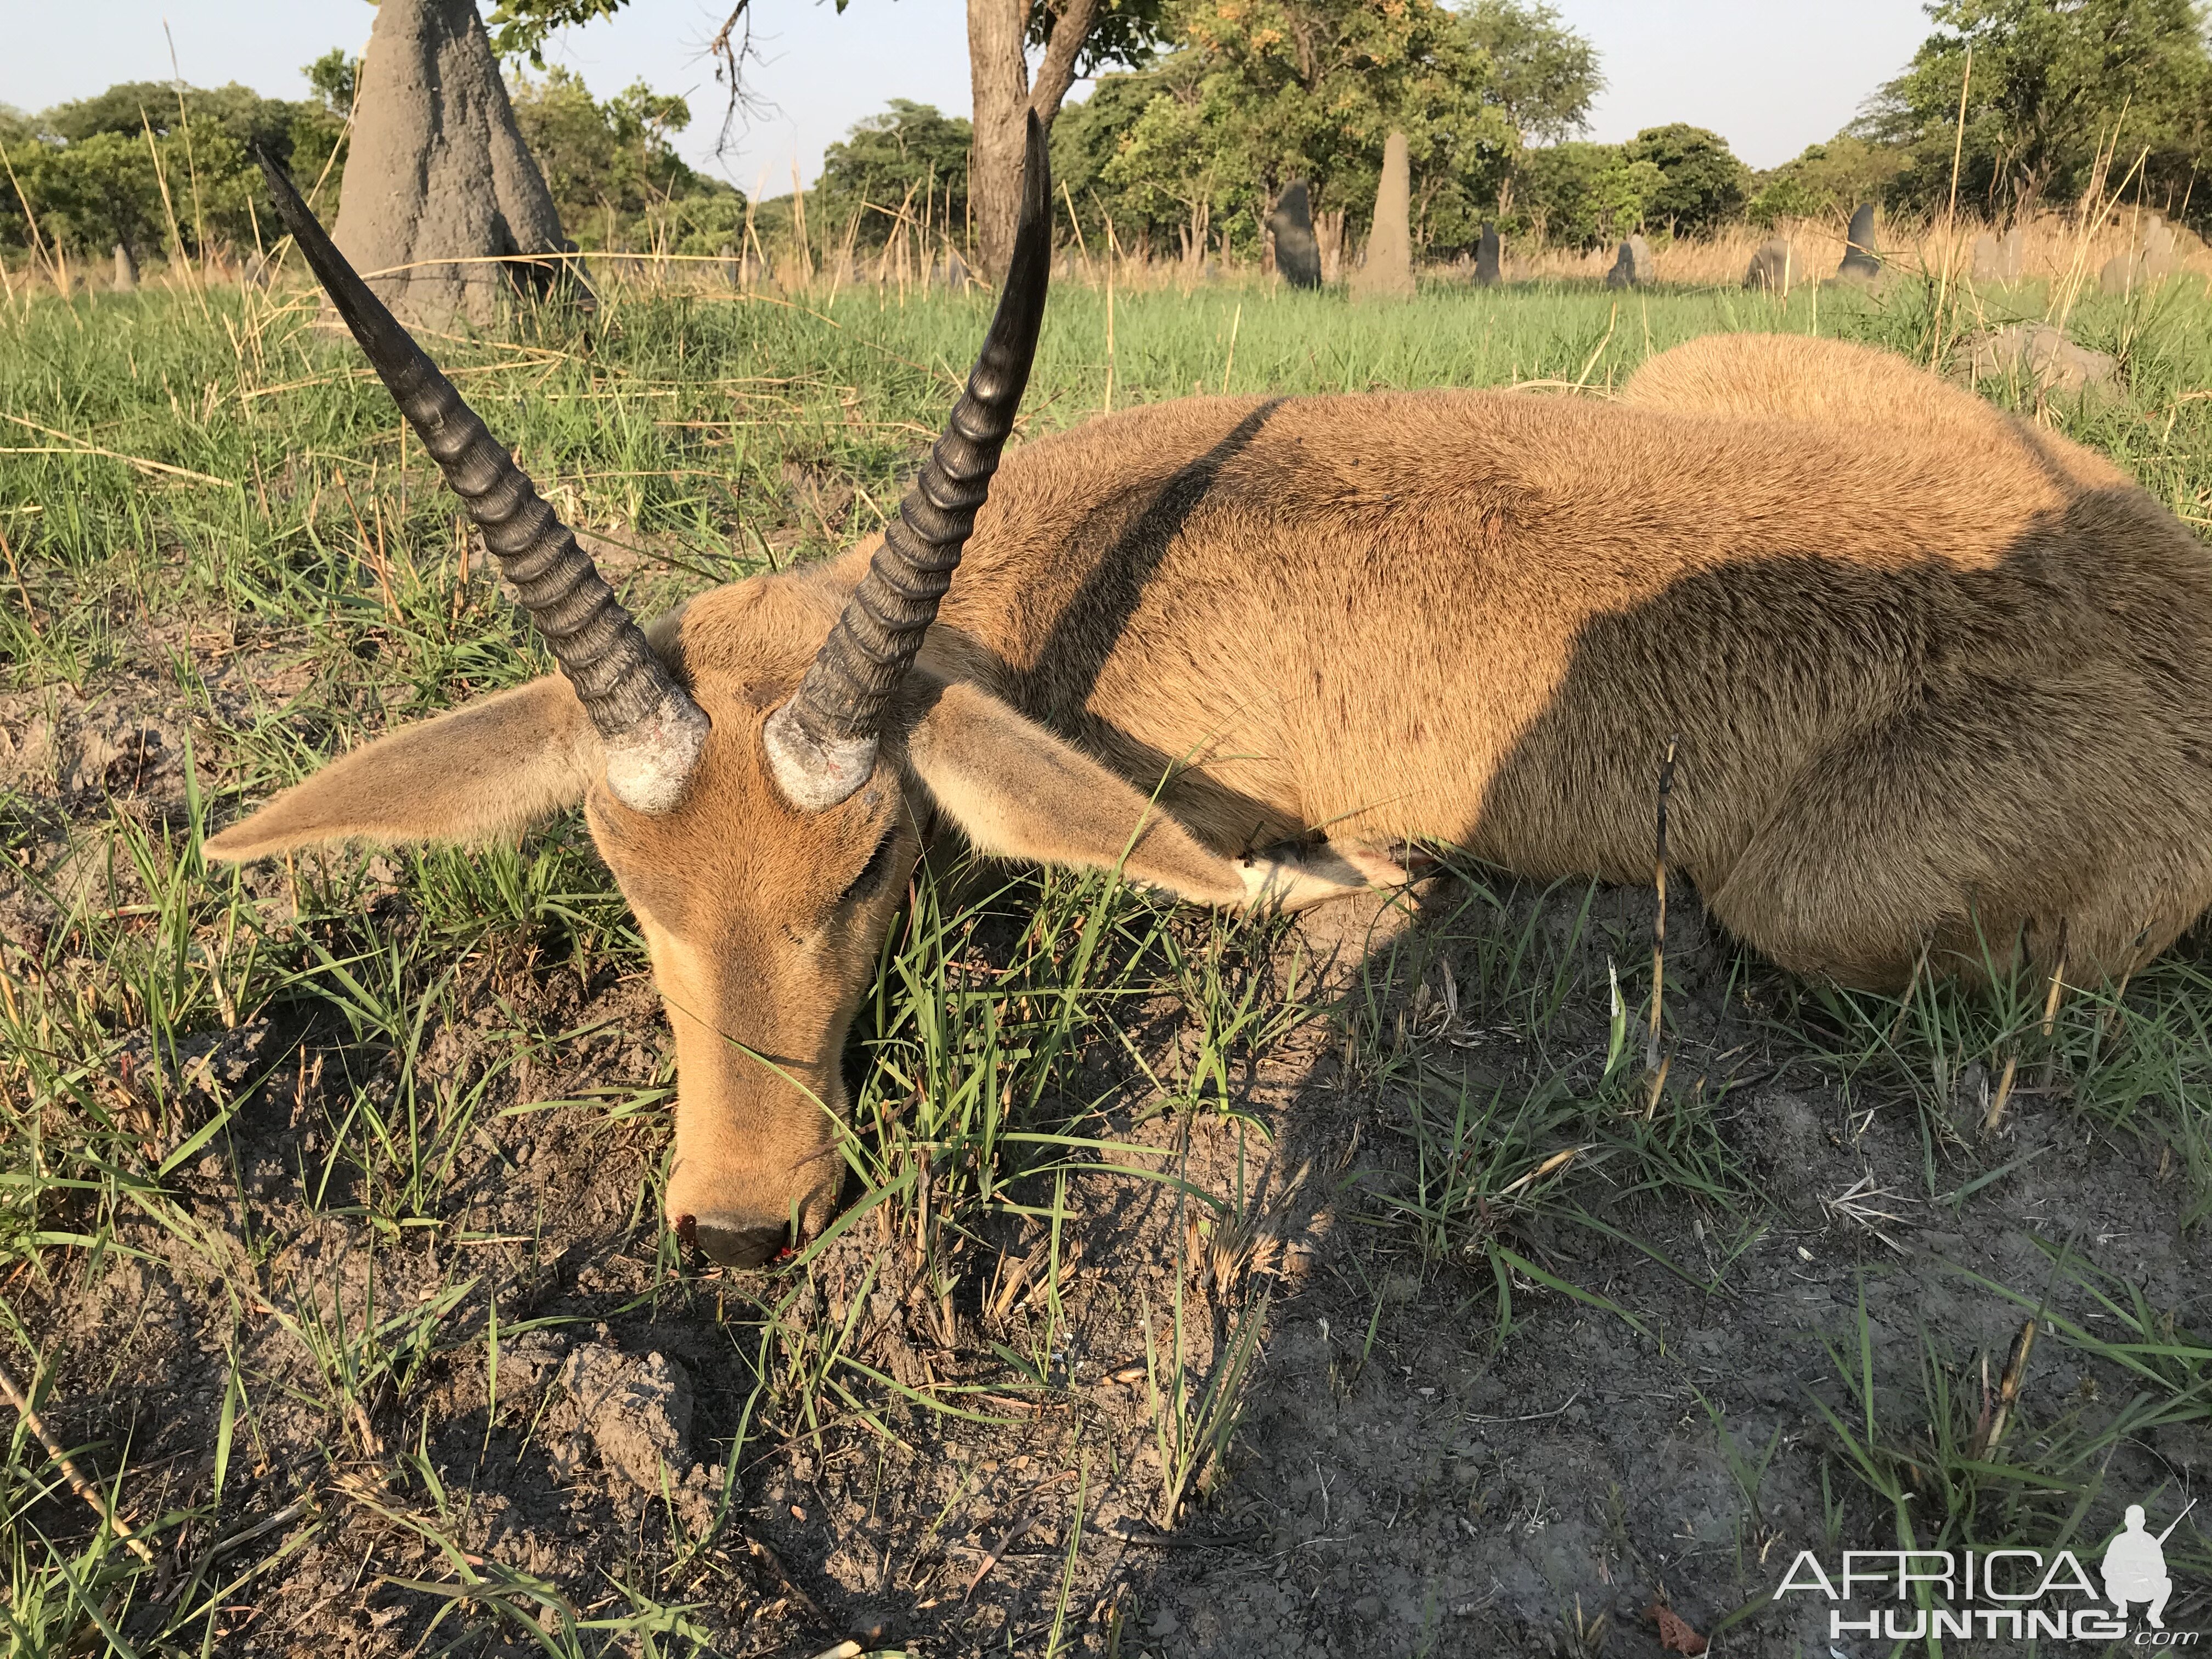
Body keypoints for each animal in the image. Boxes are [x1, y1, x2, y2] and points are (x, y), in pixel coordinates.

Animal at [216, 133, 2212, 1274]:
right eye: (630, 884)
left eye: (868, 870)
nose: (736, 1224)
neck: (1055, 576)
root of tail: (2165, 587)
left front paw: (1355, 876)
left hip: (1807, 905)